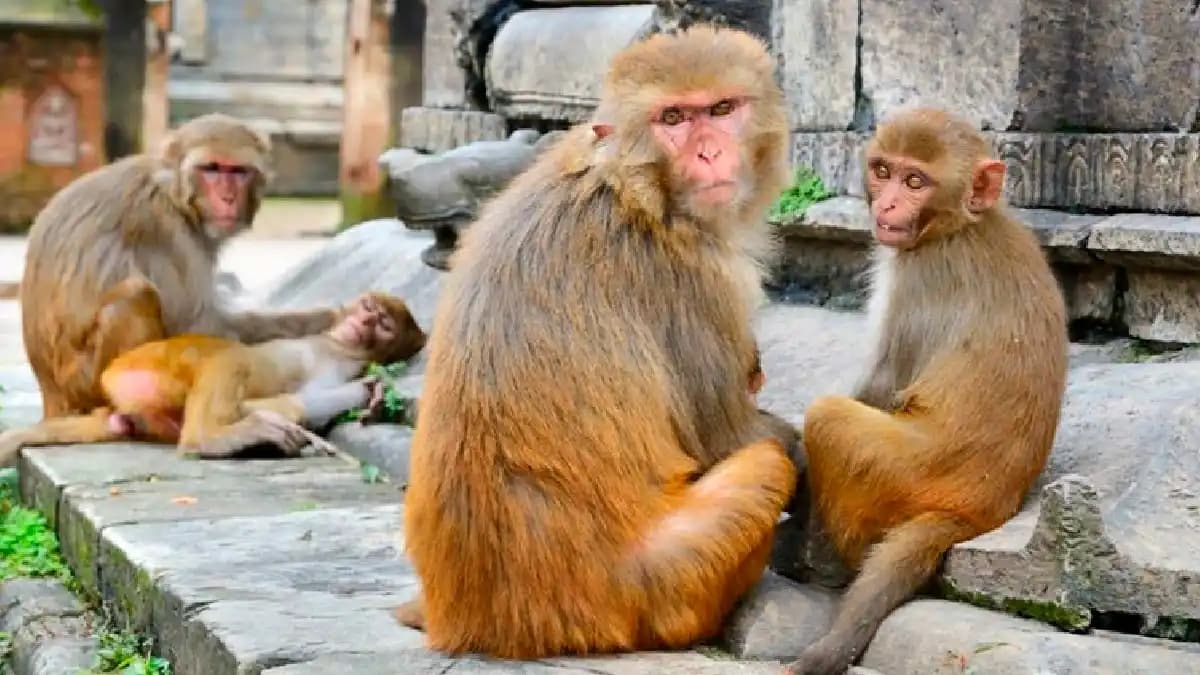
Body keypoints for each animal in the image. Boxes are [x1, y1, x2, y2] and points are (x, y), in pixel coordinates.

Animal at [0, 290, 426, 463]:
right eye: (368, 307)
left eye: (384, 324)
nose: (366, 320)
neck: (340, 346)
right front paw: (367, 392)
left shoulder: (336, 360)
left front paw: (368, 392)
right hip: (143, 367)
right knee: (227, 356)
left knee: (227, 359)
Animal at [20, 113, 343, 421]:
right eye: (211, 168)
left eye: (238, 171)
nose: (227, 197)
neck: (172, 191)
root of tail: (50, 393)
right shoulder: (172, 233)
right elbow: (197, 326)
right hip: (82, 382)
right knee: (136, 295)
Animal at [395, 25, 798, 660]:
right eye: (673, 118)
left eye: (722, 109)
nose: (709, 152)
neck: (632, 187)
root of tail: (479, 622)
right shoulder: (696, 280)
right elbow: (731, 436)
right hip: (652, 583)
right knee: (764, 464)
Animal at [783, 107, 1069, 675]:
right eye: (883, 171)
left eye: (916, 182)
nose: (888, 204)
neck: (959, 225)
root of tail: (976, 510)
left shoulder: (917, 277)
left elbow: (883, 386)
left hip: (900, 474)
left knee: (830, 417)